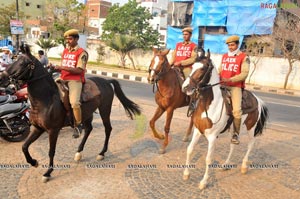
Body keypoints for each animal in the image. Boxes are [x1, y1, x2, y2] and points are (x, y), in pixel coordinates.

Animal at [0, 44, 141, 182]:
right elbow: (24, 146)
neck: (46, 99)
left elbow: (51, 151)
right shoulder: (37, 128)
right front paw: (33, 162)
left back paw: (101, 153)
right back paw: (78, 152)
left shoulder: (53, 130)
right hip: (87, 113)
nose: (2, 78)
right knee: (88, 129)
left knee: (108, 128)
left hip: (104, 110)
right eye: (15, 59)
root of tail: (106, 81)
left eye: (23, 63)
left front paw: (48, 172)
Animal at [182, 52, 268, 190]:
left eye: (202, 69)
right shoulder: (197, 131)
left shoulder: (212, 137)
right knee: (233, 144)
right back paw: (226, 164)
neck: (209, 105)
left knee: (251, 144)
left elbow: (208, 159)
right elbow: (190, 149)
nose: (185, 88)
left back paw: (244, 166)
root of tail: (257, 99)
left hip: (251, 128)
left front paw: (203, 182)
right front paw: (186, 174)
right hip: (234, 128)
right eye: (193, 66)